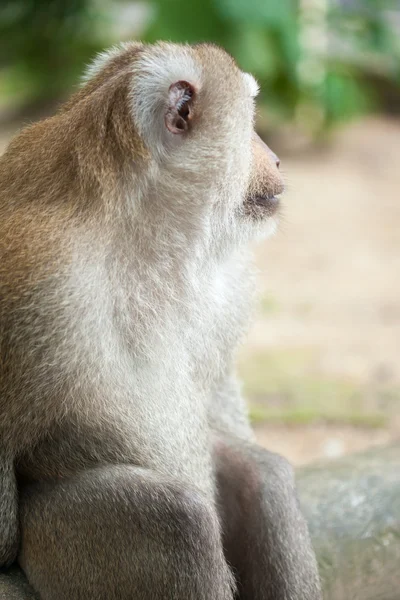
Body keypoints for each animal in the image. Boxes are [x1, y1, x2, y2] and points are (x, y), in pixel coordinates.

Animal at [0, 43, 320, 600]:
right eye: (250, 122)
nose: (276, 157)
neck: (146, 236)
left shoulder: (229, 279)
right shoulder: (33, 287)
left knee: (265, 478)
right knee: (177, 520)